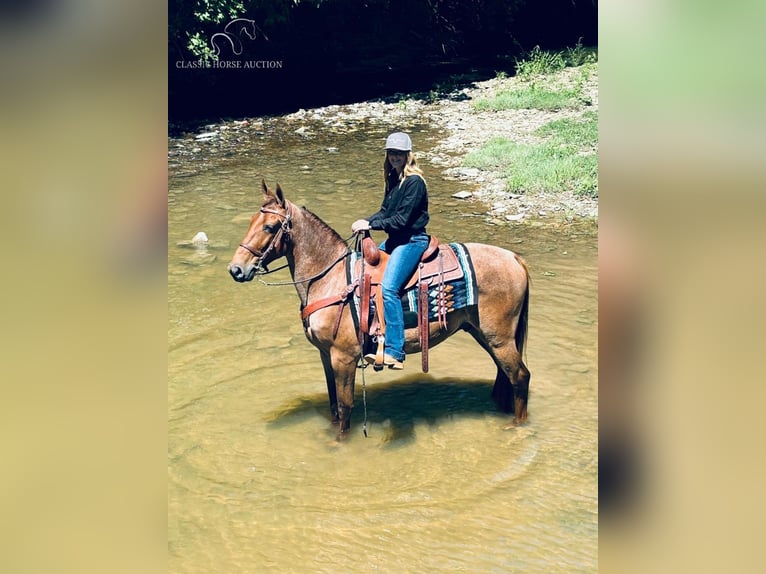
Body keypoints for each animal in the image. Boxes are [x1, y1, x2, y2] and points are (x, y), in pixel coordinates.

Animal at [226, 182, 536, 438]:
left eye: (269, 227)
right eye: (251, 221)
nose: (236, 269)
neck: (329, 278)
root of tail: (515, 258)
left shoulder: (344, 358)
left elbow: (345, 406)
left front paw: (339, 445)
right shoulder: (325, 355)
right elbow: (333, 404)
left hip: (499, 338)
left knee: (520, 377)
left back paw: (516, 426)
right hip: (484, 334)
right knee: (505, 376)